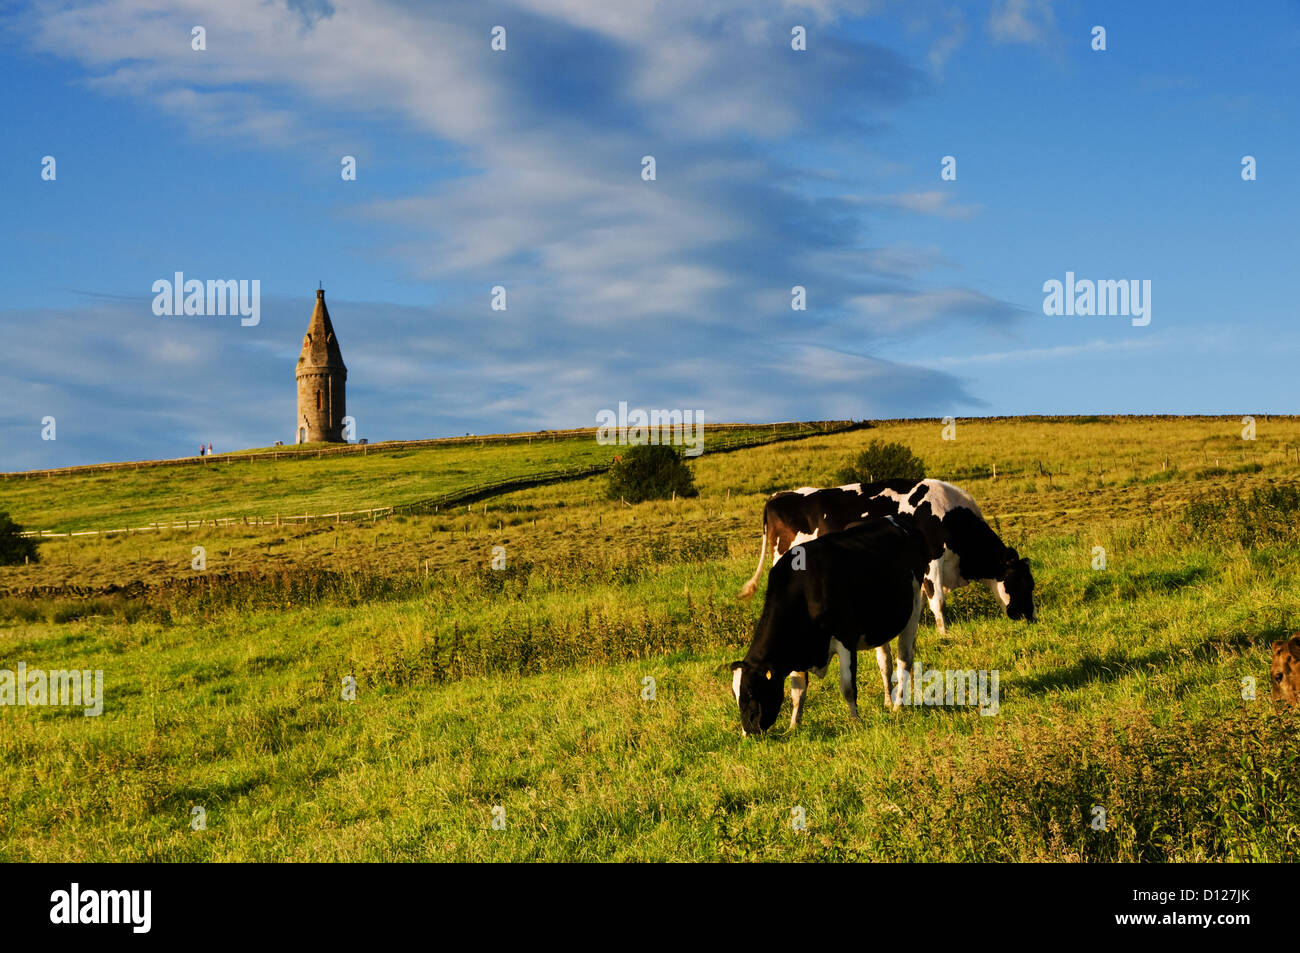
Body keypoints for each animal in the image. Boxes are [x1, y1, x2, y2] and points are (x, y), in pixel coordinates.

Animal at [728, 517, 930, 733]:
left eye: (751, 692)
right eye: (735, 695)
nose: (748, 732)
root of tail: (895, 520)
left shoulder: (846, 638)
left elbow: (847, 687)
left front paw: (855, 721)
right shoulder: (797, 648)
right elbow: (797, 692)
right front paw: (793, 726)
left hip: (914, 606)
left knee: (904, 660)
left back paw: (898, 706)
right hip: (880, 624)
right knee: (885, 662)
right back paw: (888, 702)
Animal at [743, 475, 1034, 631]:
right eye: (1020, 582)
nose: (1030, 617)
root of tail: (779, 495)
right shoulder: (932, 559)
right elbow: (937, 601)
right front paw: (944, 633)